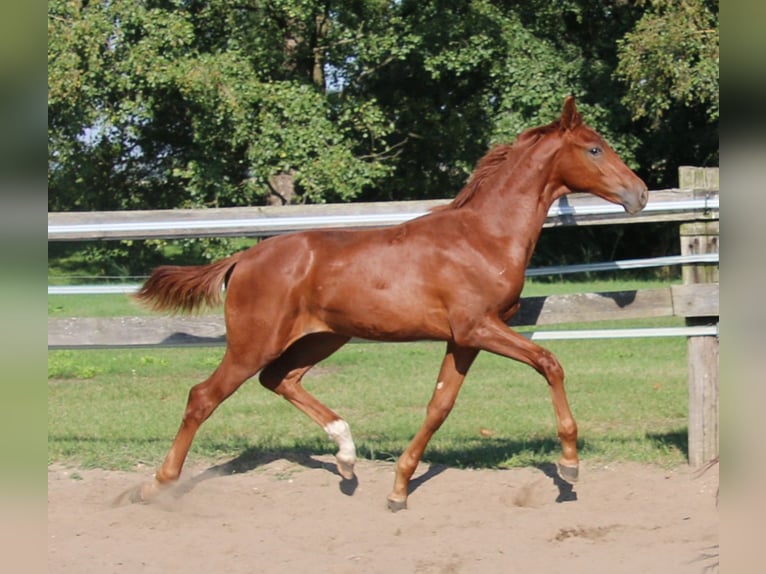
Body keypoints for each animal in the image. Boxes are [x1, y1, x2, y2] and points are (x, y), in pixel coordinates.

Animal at [118, 98, 648, 512]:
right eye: (595, 148)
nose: (639, 194)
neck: (483, 237)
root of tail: (244, 257)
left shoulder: (464, 338)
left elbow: (439, 405)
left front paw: (398, 488)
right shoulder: (478, 327)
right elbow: (549, 362)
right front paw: (570, 467)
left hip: (324, 337)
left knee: (280, 379)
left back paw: (346, 456)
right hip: (254, 342)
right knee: (203, 396)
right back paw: (155, 486)